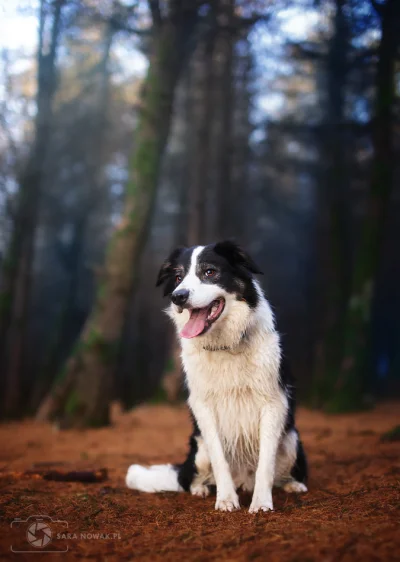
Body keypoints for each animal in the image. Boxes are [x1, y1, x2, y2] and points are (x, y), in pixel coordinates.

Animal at [126, 238, 308, 510]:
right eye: (178, 277)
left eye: (209, 272)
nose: (178, 296)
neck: (226, 345)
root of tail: (244, 481)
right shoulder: (204, 407)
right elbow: (219, 458)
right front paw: (226, 500)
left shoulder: (273, 403)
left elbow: (266, 463)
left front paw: (261, 503)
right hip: (199, 449)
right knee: (192, 478)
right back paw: (201, 489)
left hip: (291, 440)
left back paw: (292, 484)